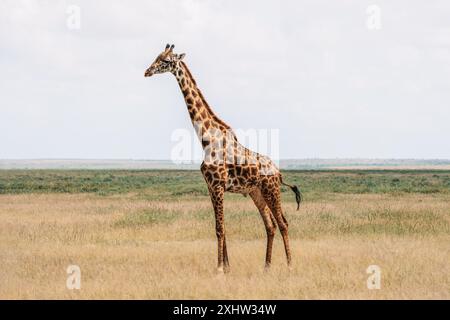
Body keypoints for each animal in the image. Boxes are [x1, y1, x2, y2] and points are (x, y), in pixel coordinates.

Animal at [145, 43, 302, 272]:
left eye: (166, 61)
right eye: (156, 56)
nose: (147, 71)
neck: (207, 139)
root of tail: (279, 172)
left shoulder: (218, 185)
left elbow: (220, 228)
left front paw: (219, 269)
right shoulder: (211, 187)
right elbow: (222, 227)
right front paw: (227, 267)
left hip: (271, 190)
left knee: (283, 223)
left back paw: (290, 265)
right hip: (256, 193)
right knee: (270, 225)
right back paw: (266, 266)